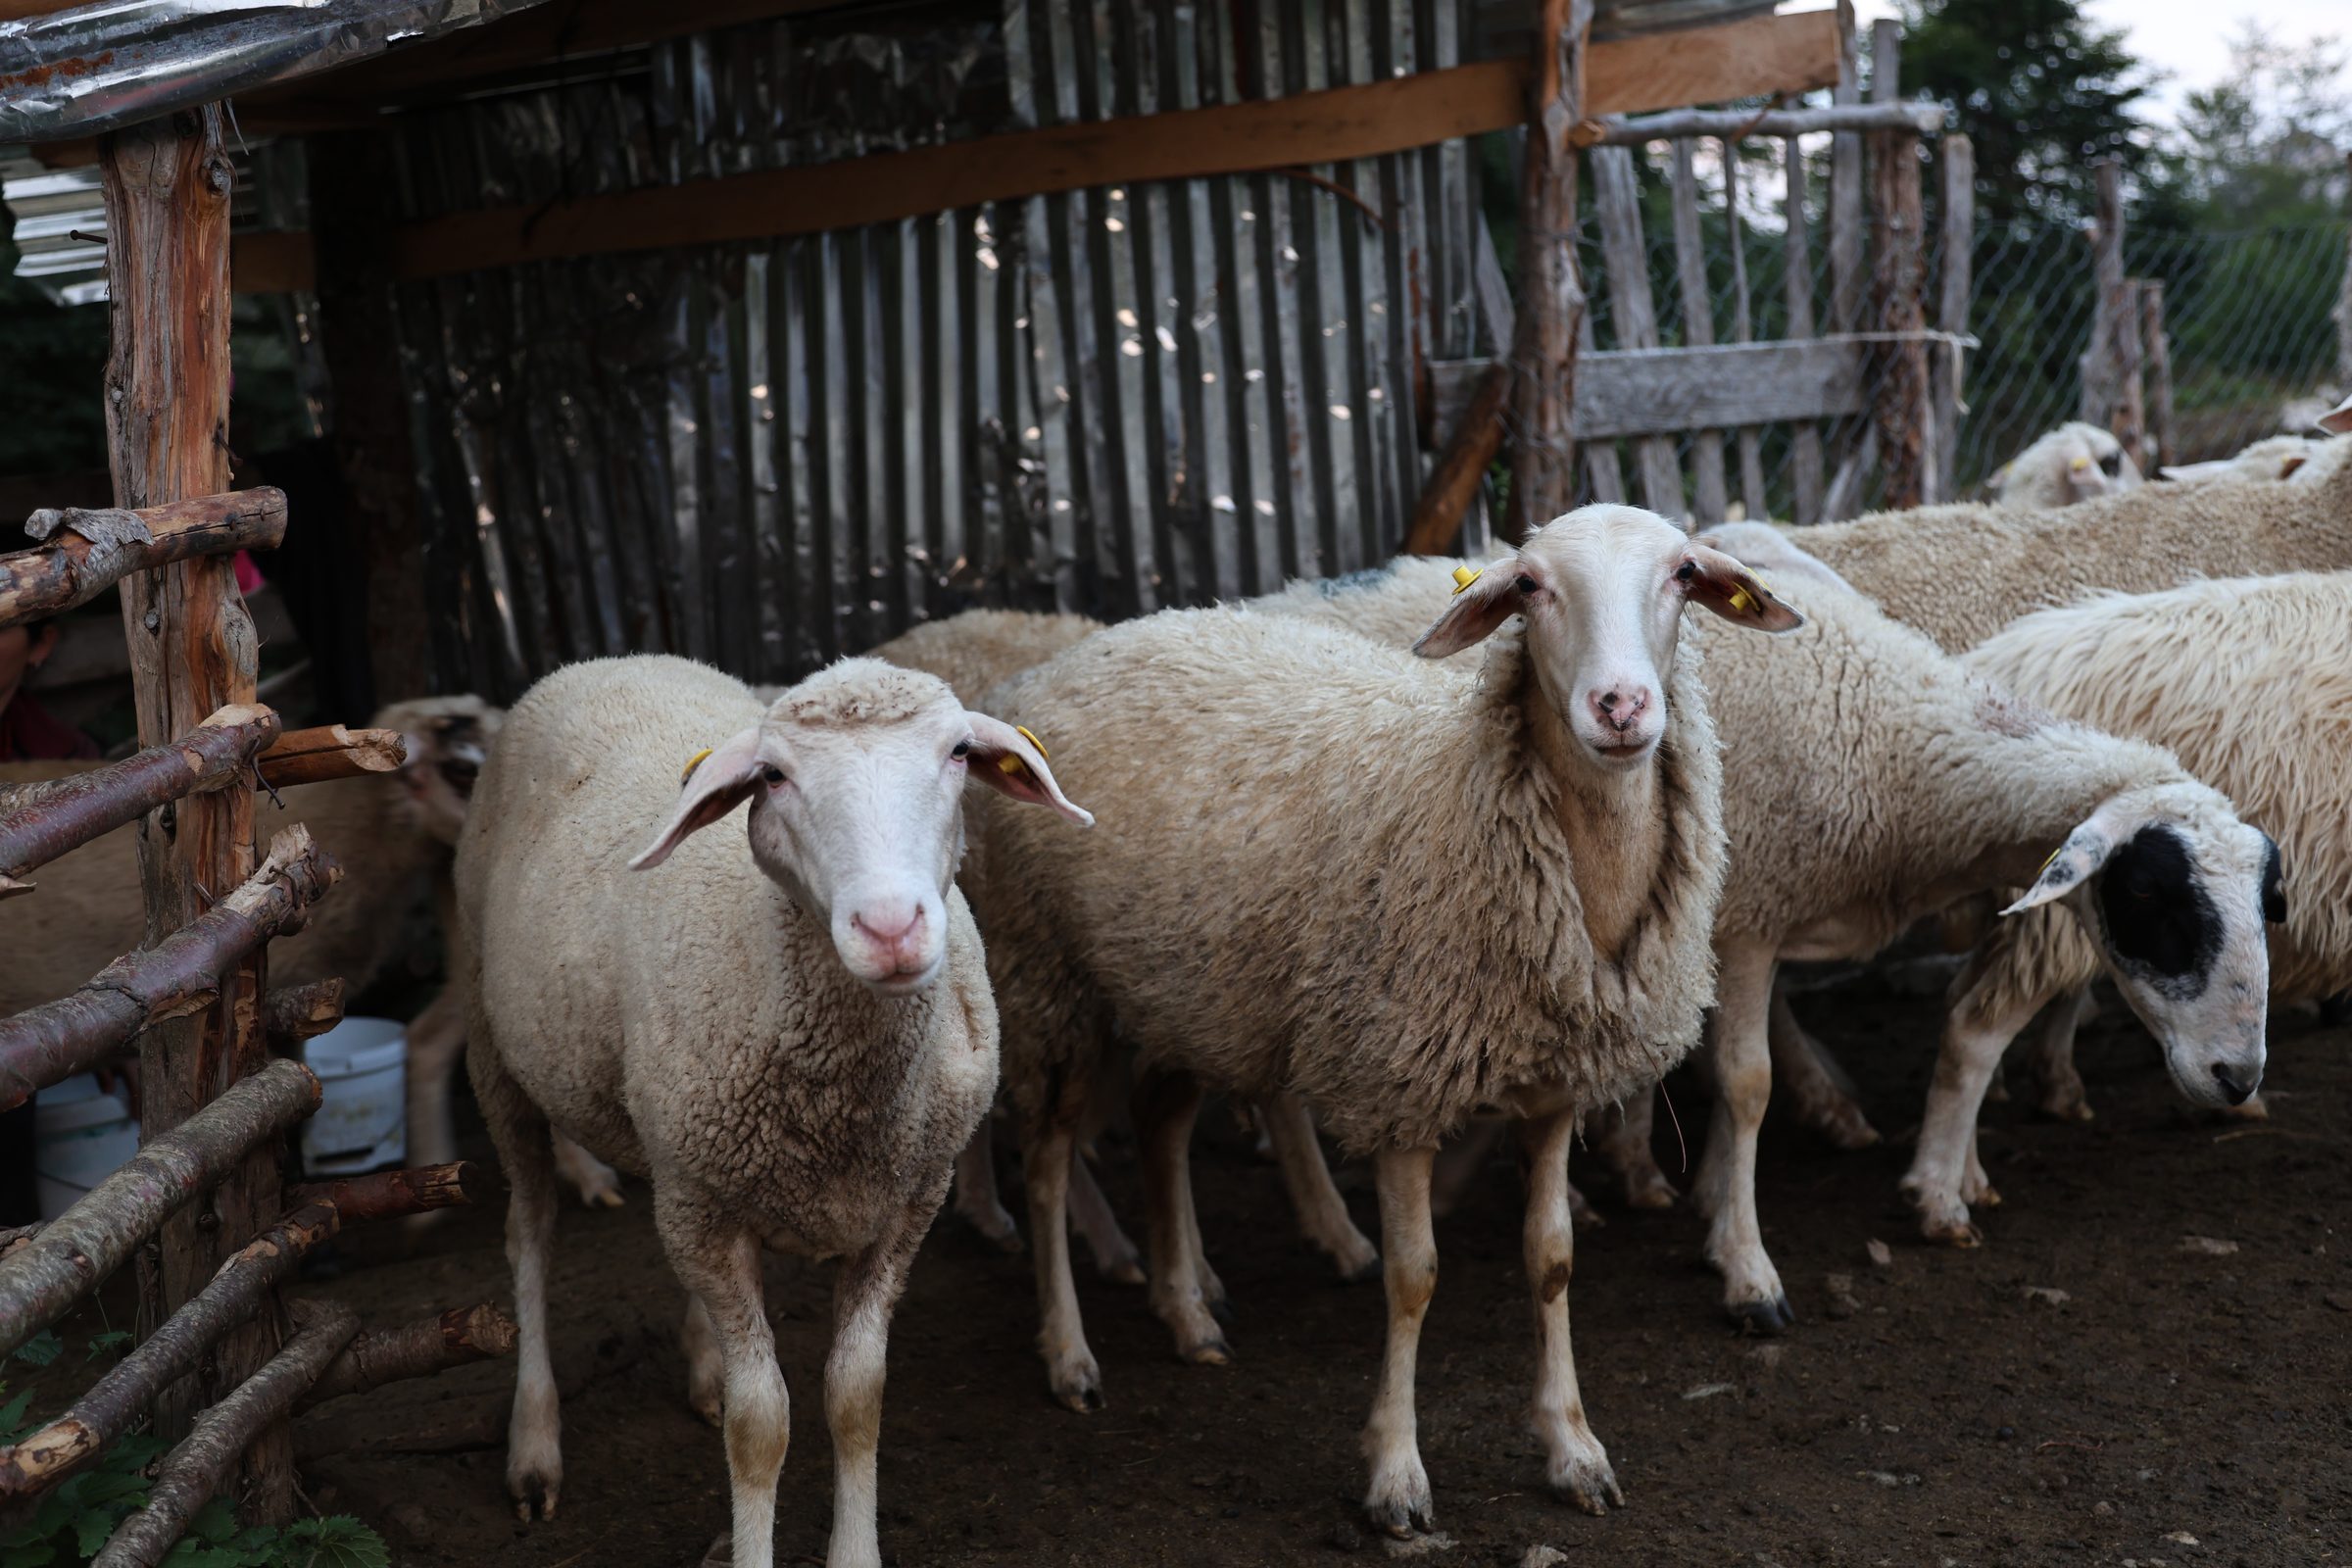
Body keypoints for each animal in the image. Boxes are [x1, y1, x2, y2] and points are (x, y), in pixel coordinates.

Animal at [451, 654, 1088, 1568]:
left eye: (961, 753)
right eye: (776, 776)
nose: (890, 928)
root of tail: (610, 659)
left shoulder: (903, 1209)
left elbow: (857, 1397)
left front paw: (854, 1549)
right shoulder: (710, 1213)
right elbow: (762, 1428)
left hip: (674, 1148)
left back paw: (703, 1366)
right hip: (494, 1045)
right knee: (529, 1232)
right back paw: (534, 1446)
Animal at [971, 505, 1802, 1530]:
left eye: (1684, 573)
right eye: (1531, 586)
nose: (1620, 707)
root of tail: (1066, 659)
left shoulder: (1553, 1086)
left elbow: (1552, 1259)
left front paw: (1573, 1448)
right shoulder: (1402, 1078)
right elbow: (1415, 1277)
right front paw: (1396, 1476)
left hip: (1182, 984)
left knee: (1160, 1126)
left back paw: (1189, 1312)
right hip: (1047, 975)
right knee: (1047, 1163)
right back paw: (1070, 1354)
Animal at [1241, 541, 2279, 1330]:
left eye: (2266, 899)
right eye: (2153, 895)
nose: (2238, 1078)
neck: (1894, 739)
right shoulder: (1743, 920)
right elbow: (1745, 1085)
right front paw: (1745, 1270)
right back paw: (1314, 1244)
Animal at [1884, 571, 2346, 1241]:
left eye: (2270, 900)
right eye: (2146, 889)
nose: (2237, 1080)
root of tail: (1999, 658)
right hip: (2046, 931)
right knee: (1974, 1027)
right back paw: (1940, 1197)